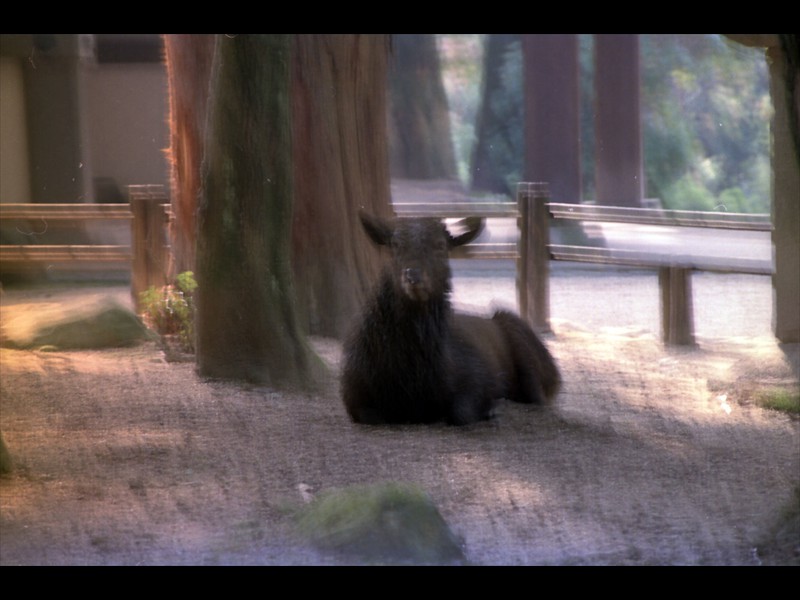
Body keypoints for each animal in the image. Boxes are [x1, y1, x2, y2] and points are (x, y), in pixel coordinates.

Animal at [340, 211, 560, 426]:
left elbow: (461, 412)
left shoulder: (478, 374)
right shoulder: (353, 393)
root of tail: (555, 373)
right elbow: (371, 416)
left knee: (538, 397)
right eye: (395, 244)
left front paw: (490, 409)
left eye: (441, 245)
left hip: (522, 342)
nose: (413, 275)